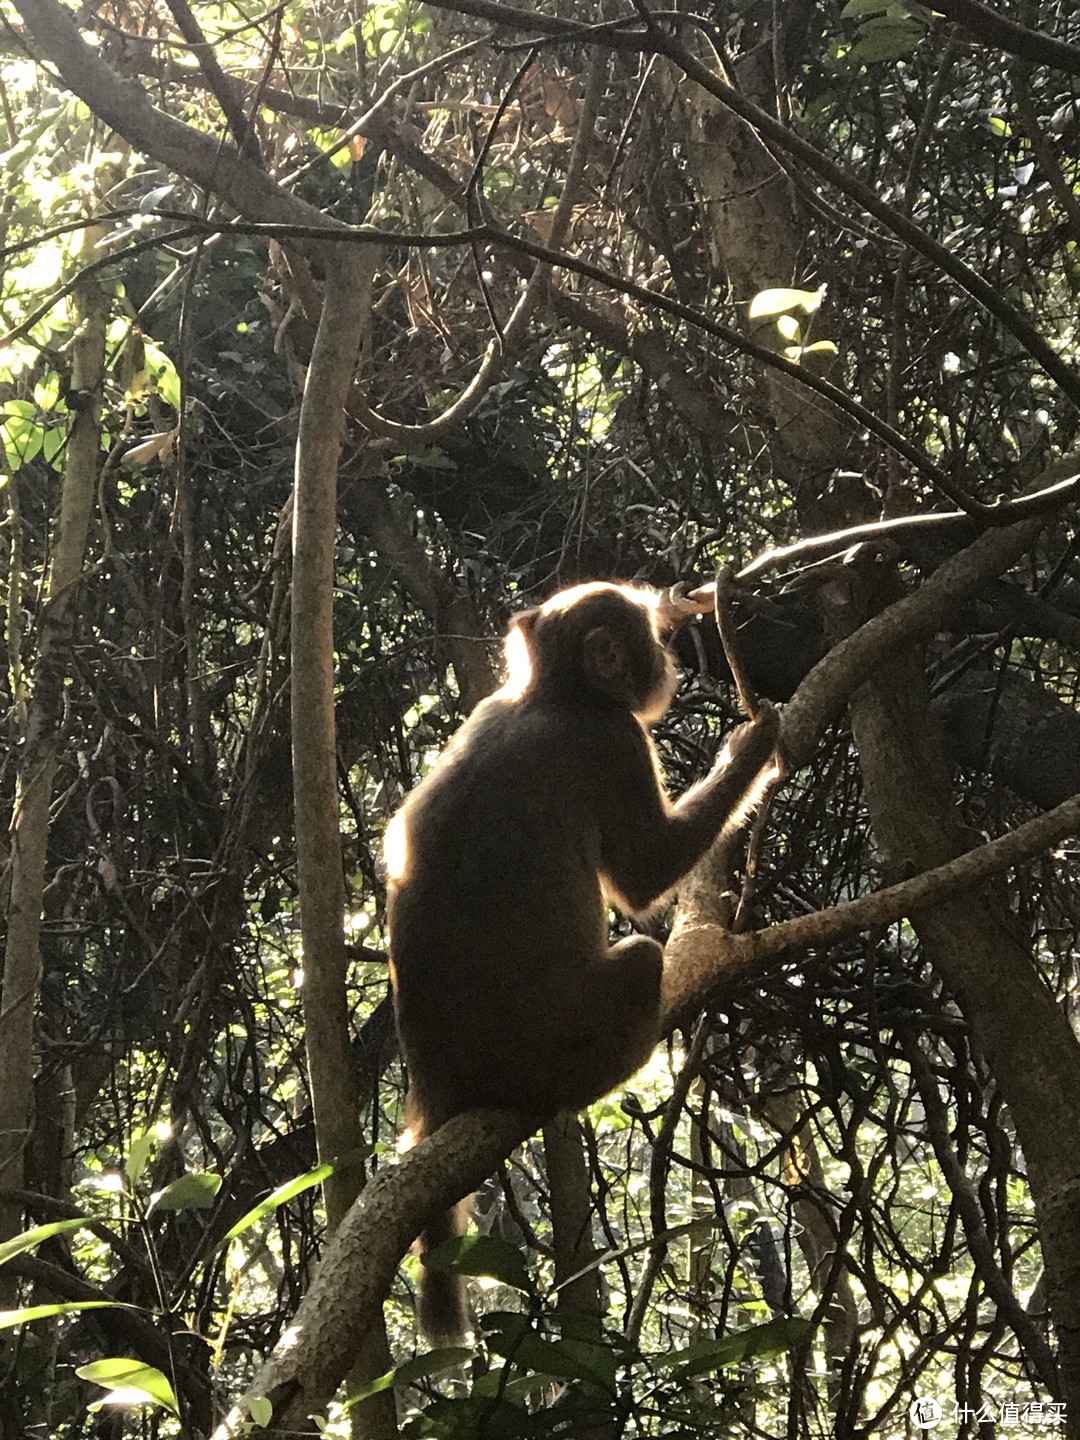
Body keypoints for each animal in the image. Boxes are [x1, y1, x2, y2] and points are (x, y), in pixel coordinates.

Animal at [385, 578, 783, 1342]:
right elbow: (643, 873)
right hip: (546, 1050)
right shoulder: (614, 740)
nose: (670, 659)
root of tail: (440, 1081)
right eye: (646, 638)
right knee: (638, 962)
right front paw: (749, 748)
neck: (550, 694)